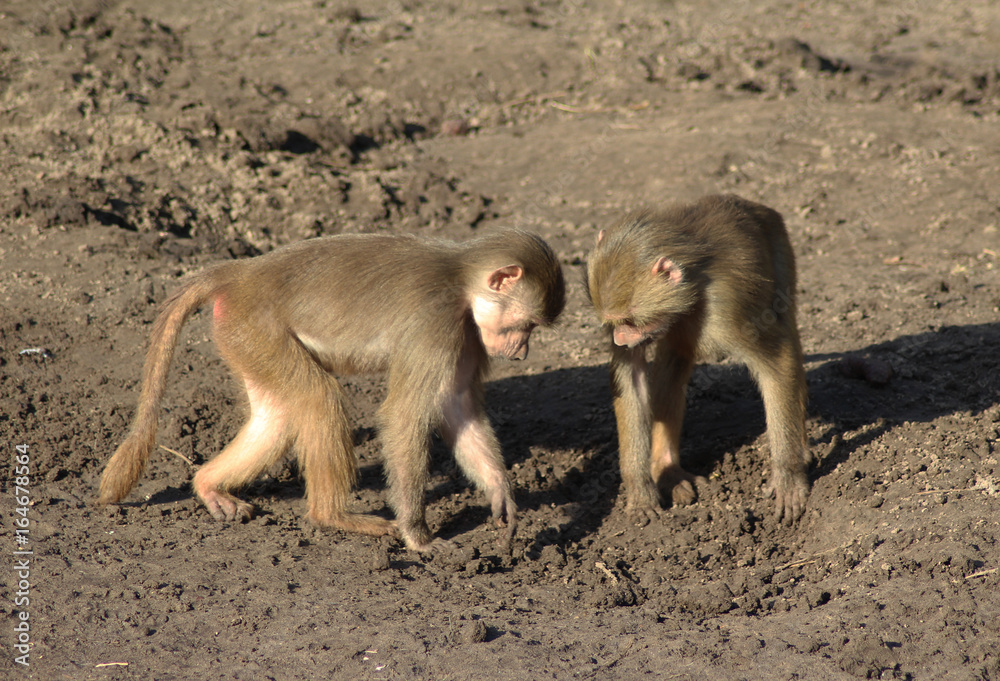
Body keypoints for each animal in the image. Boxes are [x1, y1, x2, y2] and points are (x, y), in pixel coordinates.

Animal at [98, 229, 566, 551]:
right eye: (525, 326)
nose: (522, 352)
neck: (461, 281)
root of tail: (244, 272)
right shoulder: (437, 324)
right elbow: (405, 416)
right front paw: (418, 535)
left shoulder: (467, 335)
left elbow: (458, 408)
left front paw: (500, 491)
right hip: (256, 326)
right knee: (319, 399)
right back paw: (333, 516)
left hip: (240, 336)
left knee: (277, 415)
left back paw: (209, 484)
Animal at [586, 194, 809, 524]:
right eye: (615, 323)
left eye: (630, 322)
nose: (619, 339)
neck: (692, 286)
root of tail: (751, 204)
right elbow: (632, 376)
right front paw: (640, 491)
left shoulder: (729, 307)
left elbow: (777, 362)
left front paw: (789, 478)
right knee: (674, 359)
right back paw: (667, 470)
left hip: (779, 242)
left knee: (786, 325)